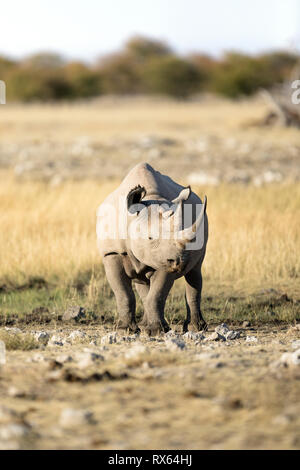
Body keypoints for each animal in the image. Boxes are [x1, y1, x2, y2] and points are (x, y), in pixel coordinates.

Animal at [96, 163, 209, 336]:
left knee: (195, 273)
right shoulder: (112, 253)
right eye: (150, 238)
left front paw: (156, 331)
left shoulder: (163, 259)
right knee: (142, 283)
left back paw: (195, 328)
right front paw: (124, 330)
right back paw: (143, 325)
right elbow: (123, 293)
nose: (179, 263)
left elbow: (157, 295)